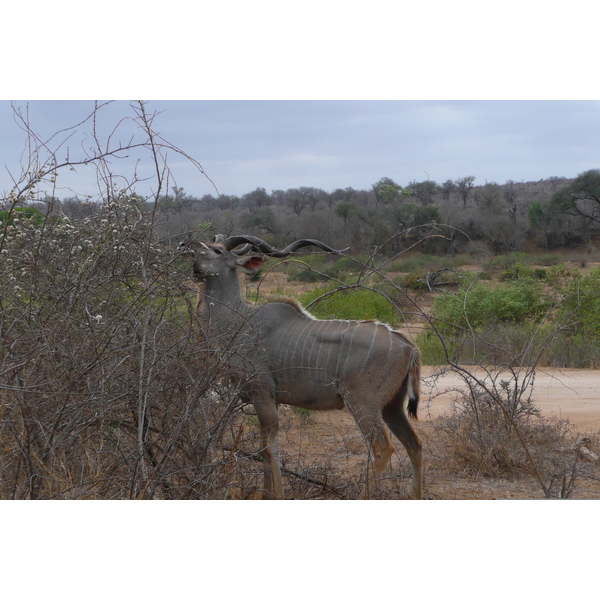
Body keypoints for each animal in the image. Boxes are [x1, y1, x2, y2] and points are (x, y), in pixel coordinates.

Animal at [185, 237, 424, 500]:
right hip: (392, 407)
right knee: (414, 444)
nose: (188, 247)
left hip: (363, 404)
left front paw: (277, 495)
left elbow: (268, 448)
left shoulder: (261, 393)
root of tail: (409, 347)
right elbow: (270, 447)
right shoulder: (271, 399)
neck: (239, 320)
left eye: (217, 250)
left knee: (382, 448)